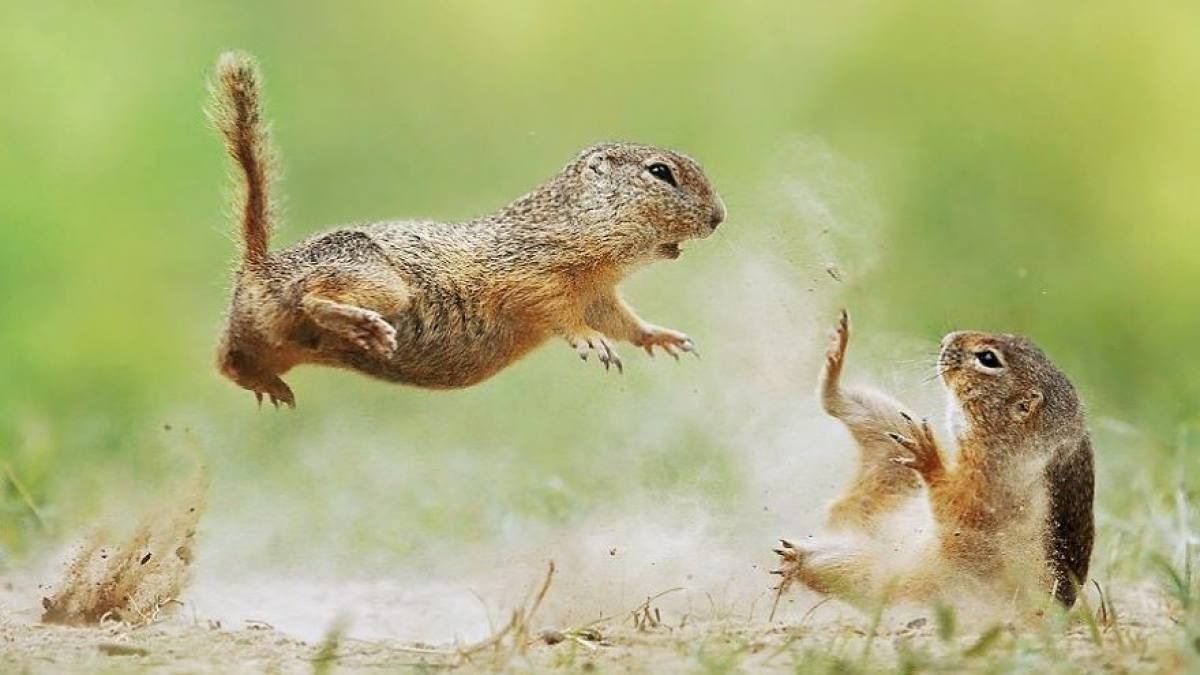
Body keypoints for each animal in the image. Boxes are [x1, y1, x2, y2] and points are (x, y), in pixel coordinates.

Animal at [207, 52, 725, 407]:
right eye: (660, 172)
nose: (719, 217)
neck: (574, 223)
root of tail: (260, 267)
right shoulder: (535, 272)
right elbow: (560, 314)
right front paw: (591, 342)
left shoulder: (599, 295)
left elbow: (623, 321)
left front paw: (663, 337)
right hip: (378, 284)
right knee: (312, 301)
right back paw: (363, 327)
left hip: (262, 337)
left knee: (228, 360)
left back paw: (271, 386)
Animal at [774, 311, 1094, 608]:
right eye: (1023, 340)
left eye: (987, 358)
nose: (947, 340)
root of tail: (844, 520)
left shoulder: (986, 499)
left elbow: (952, 505)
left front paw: (929, 459)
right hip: (892, 432)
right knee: (840, 406)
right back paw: (835, 362)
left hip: (877, 574)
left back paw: (797, 560)